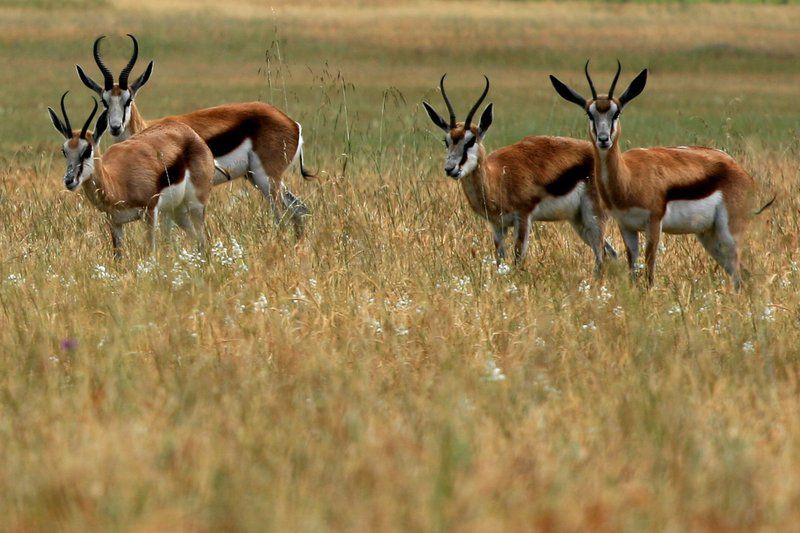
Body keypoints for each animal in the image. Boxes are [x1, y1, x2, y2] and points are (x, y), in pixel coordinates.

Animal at [48, 91, 214, 256]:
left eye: (87, 150)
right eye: (64, 151)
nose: (69, 180)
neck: (118, 183)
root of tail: (190, 133)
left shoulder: (150, 213)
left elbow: (151, 252)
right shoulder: (115, 222)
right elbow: (118, 256)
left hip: (195, 206)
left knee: (201, 240)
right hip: (175, 211)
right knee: (193, 238)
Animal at [76, 34, 312, 238]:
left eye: (128, 99)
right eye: (105, 102)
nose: (115, 127)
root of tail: (292, 123)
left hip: (267, 180)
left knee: (282, 217)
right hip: (256, 177)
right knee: (299, 210)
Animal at [424, 75, 620, 272]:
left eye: (470, 141)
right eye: (446, 141)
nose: (450, 168)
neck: (498, 178)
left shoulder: (523, 218)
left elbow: (518, 260)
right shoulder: (497, 226)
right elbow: (500, 260)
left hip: (593, 217)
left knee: (601, 255)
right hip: (578, 221)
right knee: (610, 253)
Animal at [552, 60, 768, 288]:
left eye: (616, 113)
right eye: (590, 114)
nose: (603, 139)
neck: (629, 178)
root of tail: (741, 172)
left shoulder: (654, 224)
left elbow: (649, 273)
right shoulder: (626, 226)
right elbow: (632, 270)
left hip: (729, 232)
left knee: (741, 274)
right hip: (709, 236)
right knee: (741, 275)